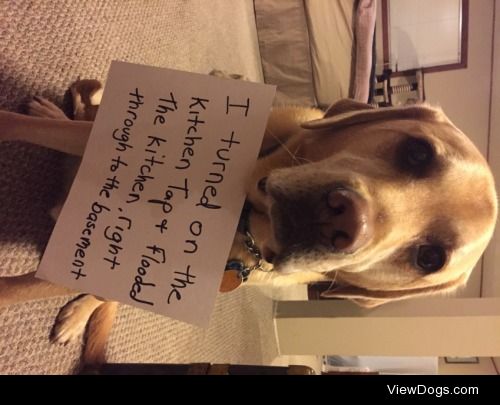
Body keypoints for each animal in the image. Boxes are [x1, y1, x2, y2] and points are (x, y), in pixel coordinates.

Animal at [0, 81, 498, 362]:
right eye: (418, 153)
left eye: (429, 258)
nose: (343, 220)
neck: (242, 214)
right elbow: (23, 126)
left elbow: (18, 291)